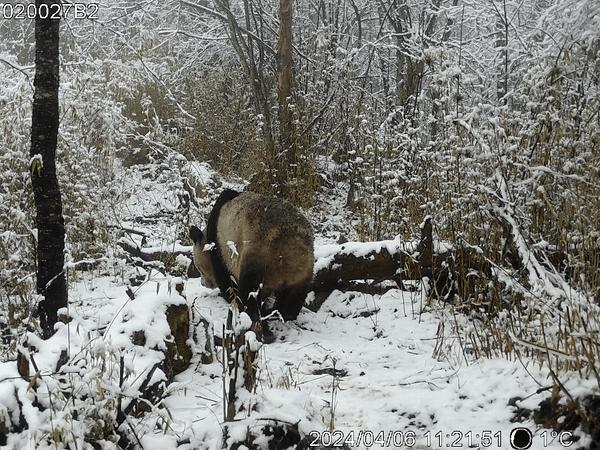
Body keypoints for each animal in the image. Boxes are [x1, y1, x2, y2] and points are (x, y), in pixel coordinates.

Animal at [191, 188, 314, 332]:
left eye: (199, 268)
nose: (203, 283)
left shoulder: (220, 247)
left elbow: (227, 281)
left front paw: (229, 297)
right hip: (304, 266)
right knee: (294, 296)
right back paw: (282, 313)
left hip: (259, 250)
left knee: (250, 291)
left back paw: (253, 315)